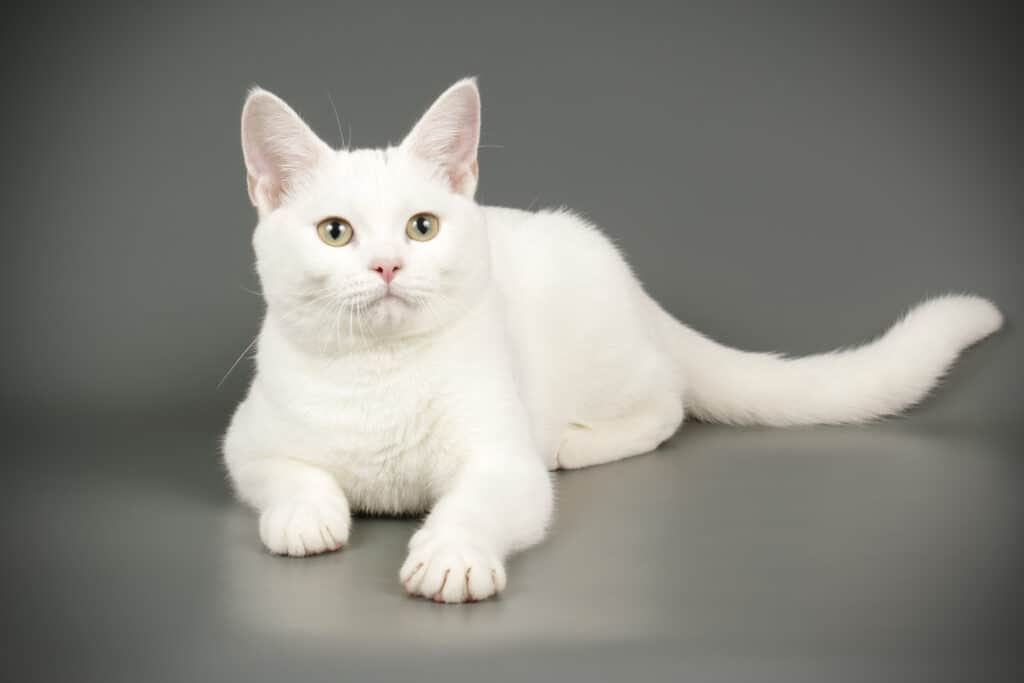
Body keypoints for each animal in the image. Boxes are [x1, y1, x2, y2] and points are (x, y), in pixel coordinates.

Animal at [222, 78, 999, 602]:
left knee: (668, 404)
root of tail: (636, 290)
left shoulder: (504, 463)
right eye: (335, 232)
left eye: (422, 227)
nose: (387, 264)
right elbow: (292, 474)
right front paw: (304, 517)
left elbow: (475, 504)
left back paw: (575, 442)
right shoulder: (247, 442)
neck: (381, 371)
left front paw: (451, 556)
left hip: (609, 357)